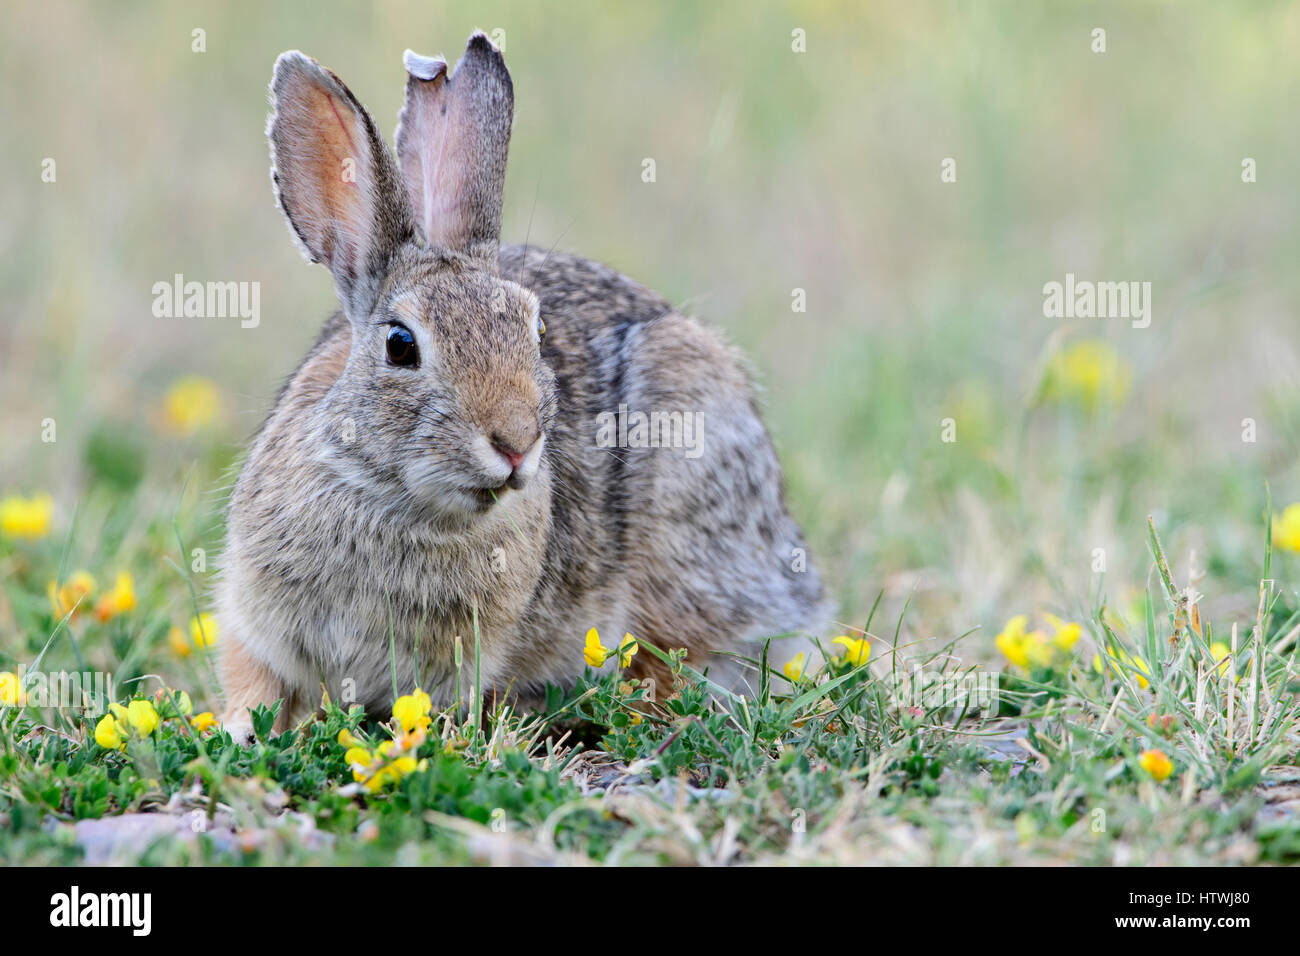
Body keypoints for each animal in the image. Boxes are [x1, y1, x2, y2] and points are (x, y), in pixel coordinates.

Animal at [215, 32, 831, 741]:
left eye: (536, 329)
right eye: (400, 344)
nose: (516, 442)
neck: (396, 501)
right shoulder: (255, 622)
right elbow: (255, 685)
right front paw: (237, 729)